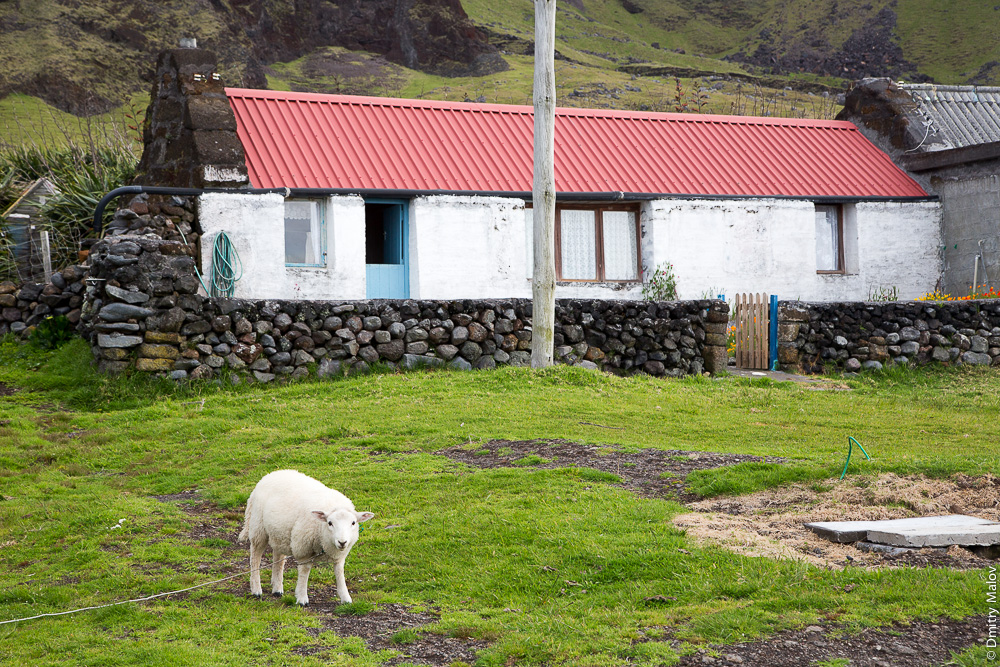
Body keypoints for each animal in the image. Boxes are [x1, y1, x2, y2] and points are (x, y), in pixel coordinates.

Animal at [237, 472, 376, 608]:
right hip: (258, 528)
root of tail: (270, 474)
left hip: (279, 533)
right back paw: (256, 589)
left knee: (278, 558)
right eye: (330, 523)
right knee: (255, 558)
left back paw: (277, 589)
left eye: (353, 523)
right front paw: (302, 598)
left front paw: (346, 598)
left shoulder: (339, 555)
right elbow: (304, 572)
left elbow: (340, 573)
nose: (342, 542)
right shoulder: (304, 549)